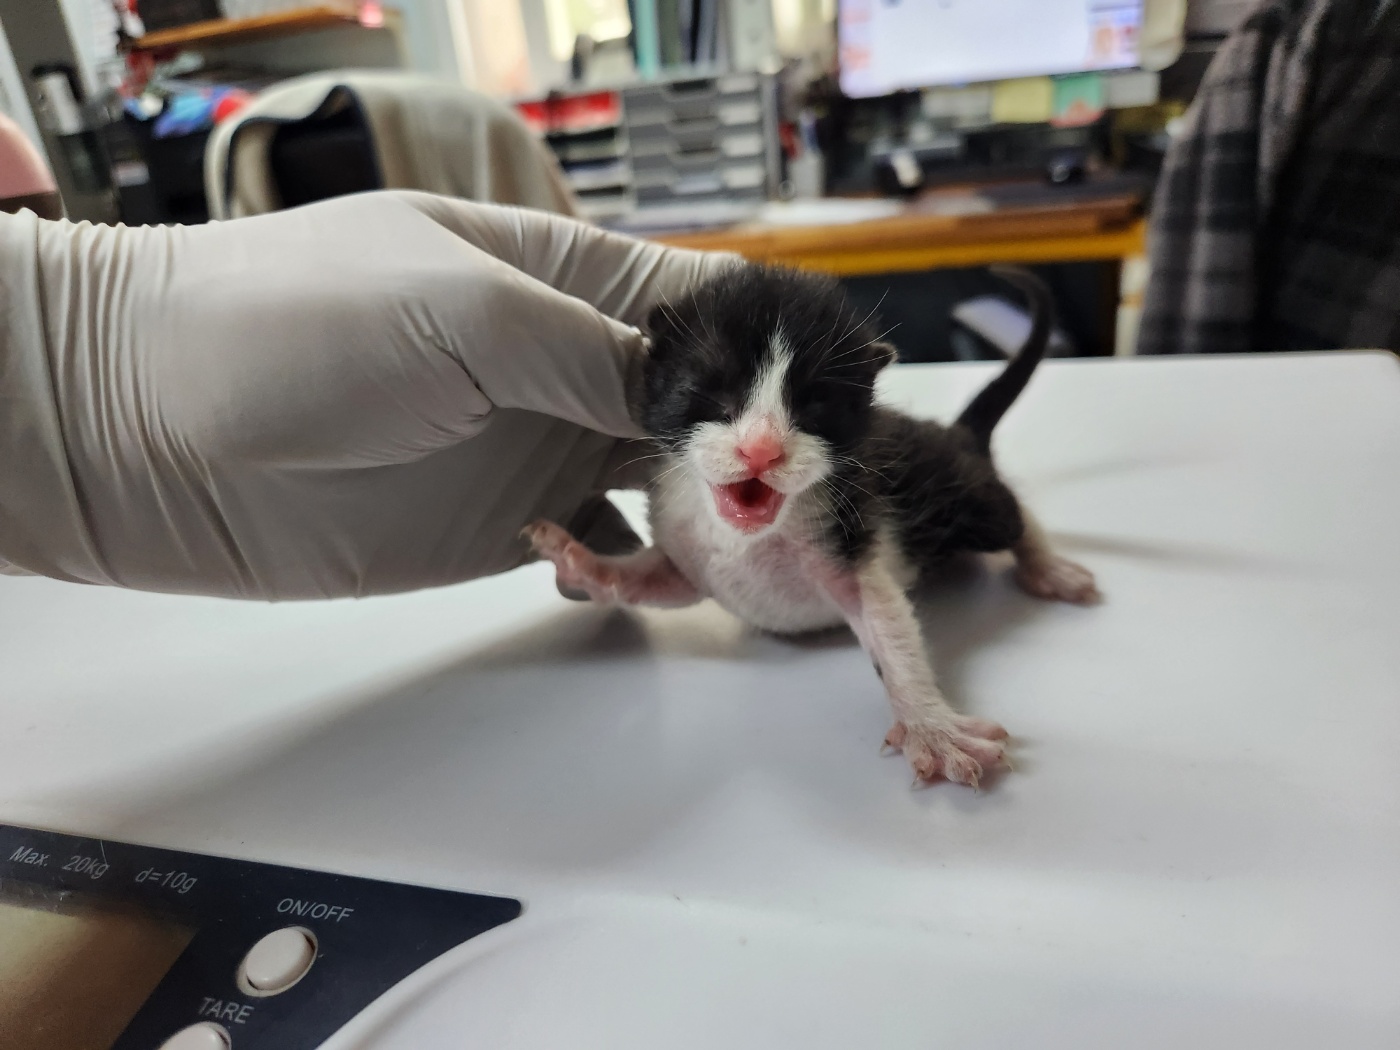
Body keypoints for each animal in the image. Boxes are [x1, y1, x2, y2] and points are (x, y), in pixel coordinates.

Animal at [526, 264, 1092, 789]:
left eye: (815, 402)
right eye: (710, 393)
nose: (760, 449)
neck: (742, 539)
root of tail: (953, 435)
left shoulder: (848, 527)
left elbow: (889, 628)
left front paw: (933, 727)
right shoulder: (687, 553)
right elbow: (654, 582)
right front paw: (582, 563)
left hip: (963, 501)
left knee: (1011, 512)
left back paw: (1047, 566)